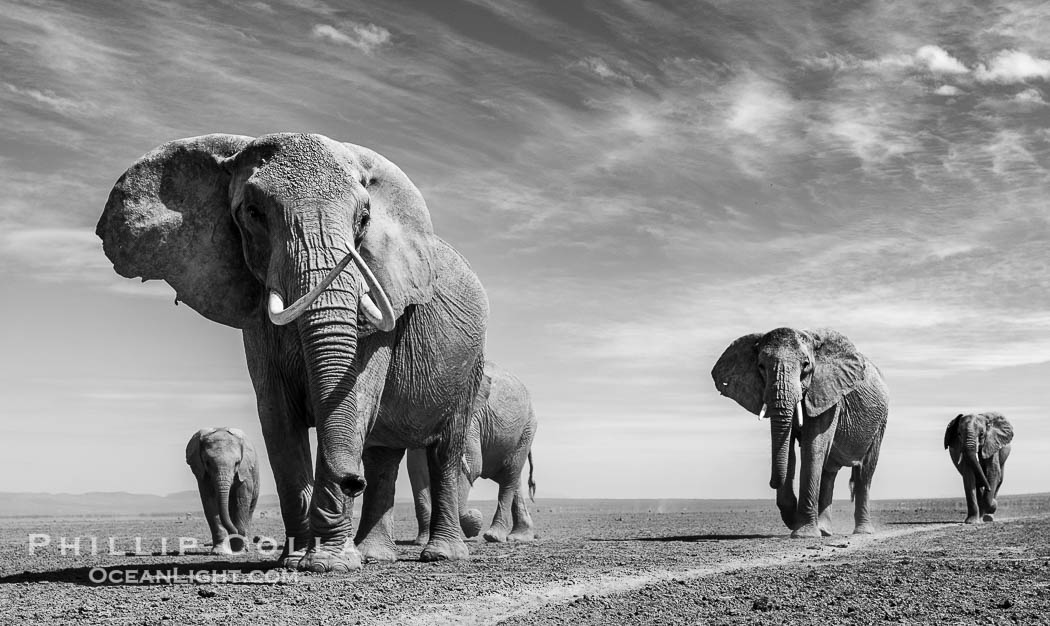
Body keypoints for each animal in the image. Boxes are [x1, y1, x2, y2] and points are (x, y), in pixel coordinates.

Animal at [185, 426, 259, 554]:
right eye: (207, 463)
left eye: (237, 463)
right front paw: (219, 552)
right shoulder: (203, 475)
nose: (236, 532)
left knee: (249, 511)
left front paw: (240, 550)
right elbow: (210, 502)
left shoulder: (245, 472)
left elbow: (241, 501)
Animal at [405, 359, 537, 546]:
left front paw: (474, 524)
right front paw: (421, 542)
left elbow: (471, 464)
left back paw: (494, 537)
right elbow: (417, 470)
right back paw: (519, 536)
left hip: (527, 429)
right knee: (513, 477)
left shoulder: (469, 415)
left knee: (510, 475)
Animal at [709, 327, 890, 537]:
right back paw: (825, 530)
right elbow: (788, 450)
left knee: (864, 473)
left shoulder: (827, 393)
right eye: (761, 366)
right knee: (829, 472)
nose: (772, 482)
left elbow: (813, 447)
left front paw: (804, 534)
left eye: (806, 365)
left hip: (881, 421)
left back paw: (862, 532)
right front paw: (795, 520)